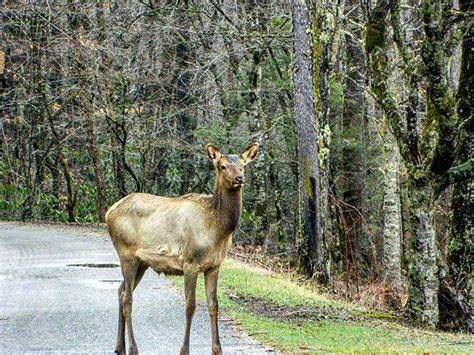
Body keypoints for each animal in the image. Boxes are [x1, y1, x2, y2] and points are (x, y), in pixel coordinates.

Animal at [105, 143, 260, 354]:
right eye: (222, 166)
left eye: (243, 166)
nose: (239, 178)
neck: (218, 229)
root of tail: (108, 212)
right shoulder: (190, 262)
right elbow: (190, 306)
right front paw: (184, 349)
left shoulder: (214, 265)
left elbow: (214, 305)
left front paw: (217, 349)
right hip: (126, 253)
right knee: (128, 298)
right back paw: (133, 348)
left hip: (142, 262)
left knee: (121, 291)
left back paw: (119, 346)